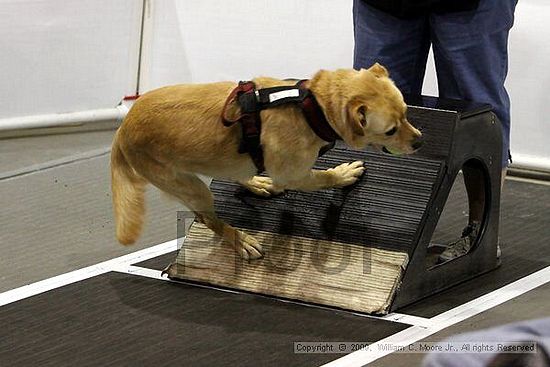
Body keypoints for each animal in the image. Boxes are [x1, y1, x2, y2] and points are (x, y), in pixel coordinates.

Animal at [111, 65, 422, 262]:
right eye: (391, 131)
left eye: (406, 113)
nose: (420, 142)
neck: (312, 107)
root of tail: (123, 128)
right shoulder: (294, 174)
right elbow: (324, 177)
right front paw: (342, 174)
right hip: (191, 187)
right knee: (209, 219)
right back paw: (240, 241)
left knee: (237, 173)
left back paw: (258, 183)